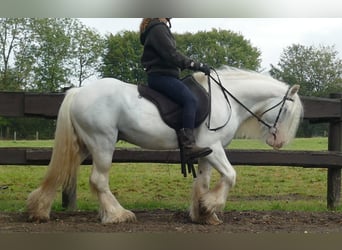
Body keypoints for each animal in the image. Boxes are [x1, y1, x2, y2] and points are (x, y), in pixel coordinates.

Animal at [28, 66, 304, 225]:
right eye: (286, 110)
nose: (278, 141)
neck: (227, 99)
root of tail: (78, 91)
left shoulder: (205, 151)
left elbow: (203, 181)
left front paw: (203, 213)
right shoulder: (213, 146)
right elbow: (230, 176)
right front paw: (210, 206)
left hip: (84, 145)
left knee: (59, 174)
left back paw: (39, 210)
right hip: (102, 142)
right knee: (98, 180)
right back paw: (117, 215)